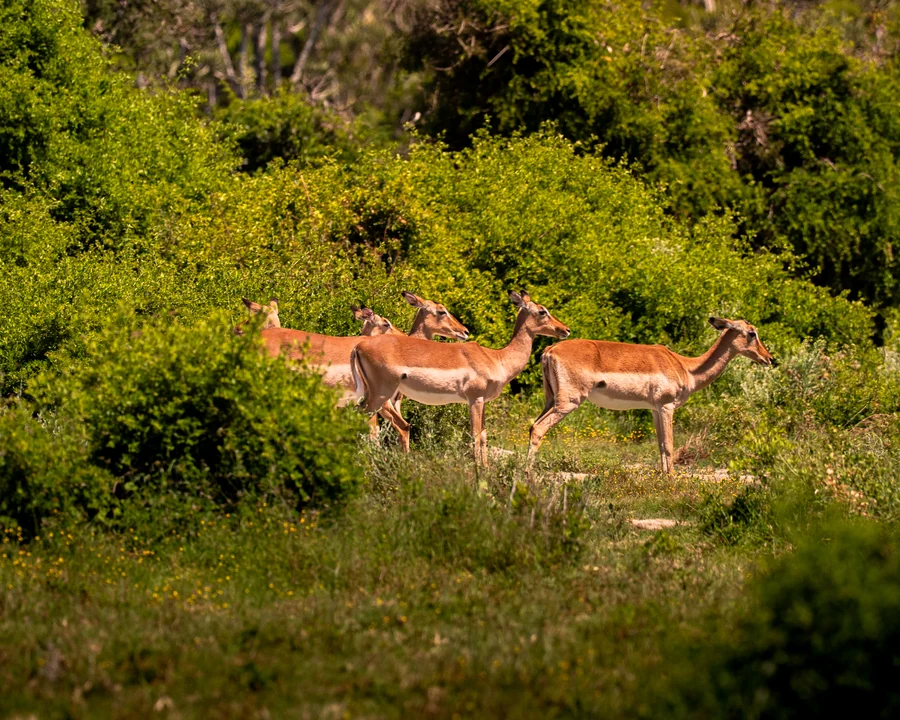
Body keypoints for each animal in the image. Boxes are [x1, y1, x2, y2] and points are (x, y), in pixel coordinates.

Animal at [351, 291, 570, 464]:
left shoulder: (483, 401)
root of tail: (358, 346)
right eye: (542, 311)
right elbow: (475, 435)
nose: (565, 329)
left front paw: (486, 469)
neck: (496, 358)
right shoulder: (475, 399)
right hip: (381, 394)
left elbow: (484, 435)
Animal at [526, 317, 775, 475]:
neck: (686, 368)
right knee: (538, 428)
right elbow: (669, 445)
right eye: (752, 333)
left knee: (531, 426)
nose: (769, 358)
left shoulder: (655, 410)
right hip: (568, 402)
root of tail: (549, 351)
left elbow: (660, 445)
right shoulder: (667, 406)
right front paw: (672, 481)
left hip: (551, 401)